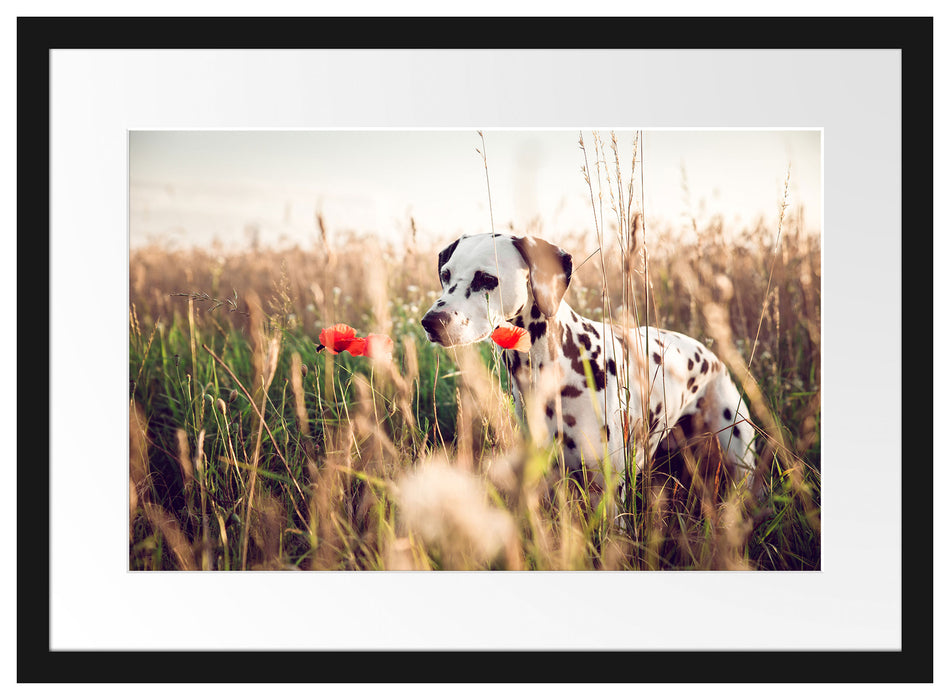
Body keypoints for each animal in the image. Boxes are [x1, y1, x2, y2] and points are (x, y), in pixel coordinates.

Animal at [424, 232, 760, 500]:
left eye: (487, 279)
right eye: (446, 274)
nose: (431, 322)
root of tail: (711, 354)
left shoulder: (607, 489)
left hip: (739, 455)